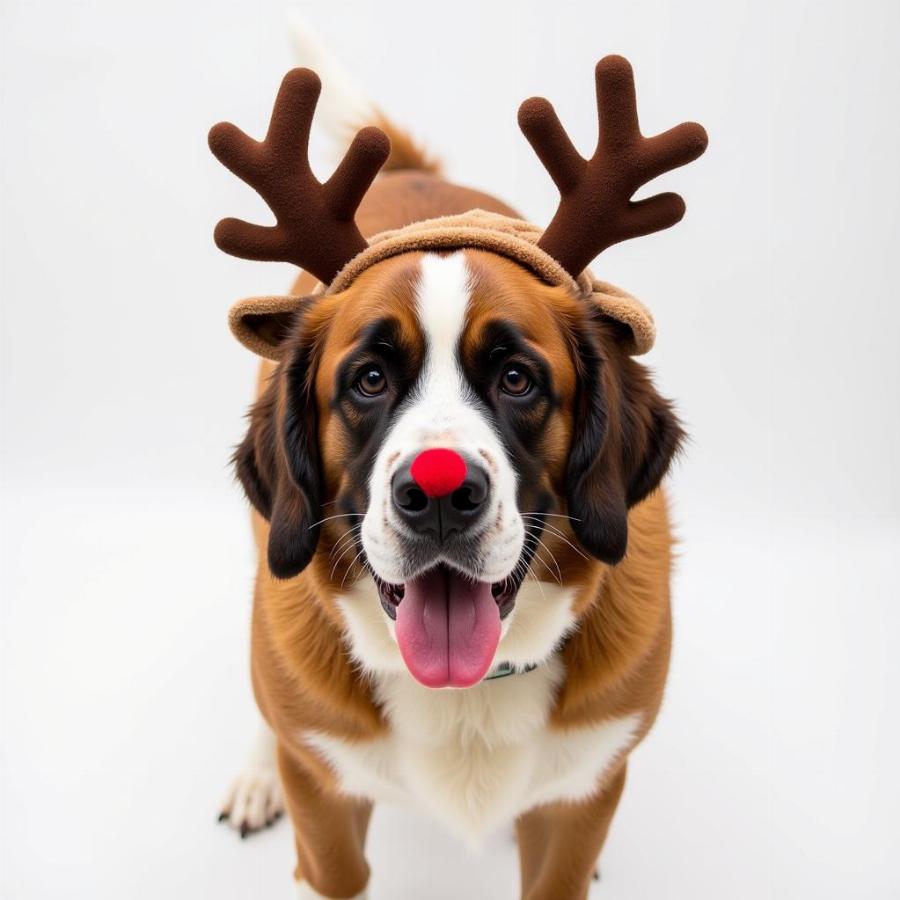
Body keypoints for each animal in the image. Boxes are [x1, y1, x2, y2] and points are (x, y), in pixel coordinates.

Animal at [213, 29, 704, 900]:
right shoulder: (326, 815)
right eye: (370, 381)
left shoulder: (581, 804)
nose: (439, 492)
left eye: (516, 379)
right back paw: (257, 770)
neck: (469, 694)